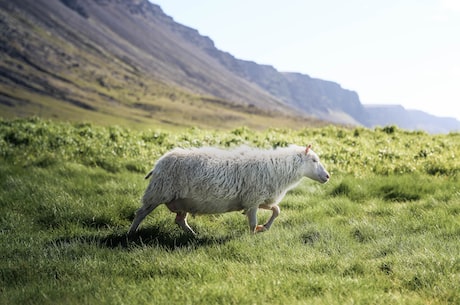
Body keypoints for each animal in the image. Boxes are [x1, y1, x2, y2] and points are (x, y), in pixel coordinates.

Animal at [128, 144, 330, 234]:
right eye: (314, 160)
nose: (328, 177)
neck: (279, 168)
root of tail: (158, 163)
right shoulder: (253, 200)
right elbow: (252, 223)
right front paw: (254, 235)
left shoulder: (255, 200)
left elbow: (277, 210)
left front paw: (265, 227)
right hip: (157, 193)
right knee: (140, 213)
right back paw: (131, 234)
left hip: (180, 201)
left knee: (179, 221)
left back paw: (193, 235)